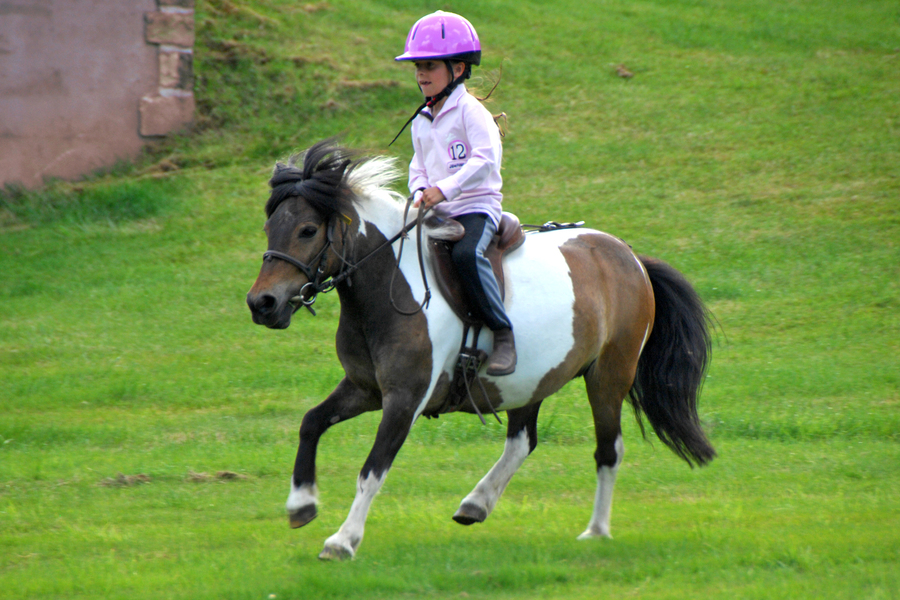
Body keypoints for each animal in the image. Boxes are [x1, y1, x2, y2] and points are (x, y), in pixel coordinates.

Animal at [246, 142, 716, 564]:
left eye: (308, 230)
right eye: (269, 230)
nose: (262, 304)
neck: (392, 286)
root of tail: (629, 256)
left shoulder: (405, 400)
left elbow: (372, 469)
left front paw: (343, 540)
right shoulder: (365, 389)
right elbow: (311, 423)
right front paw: (301, 503)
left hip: (609, 376)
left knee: (608, 450)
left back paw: (596, 530)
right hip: (531, 379)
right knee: (522, 442)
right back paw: (476, 503)